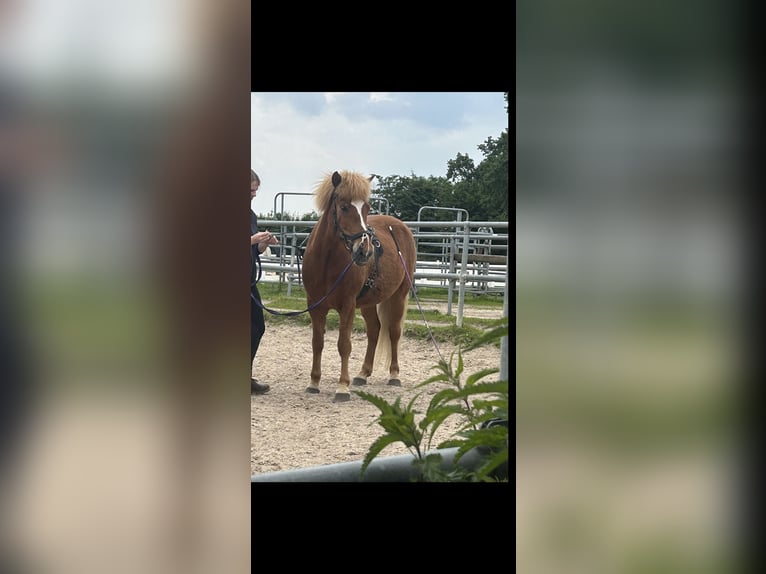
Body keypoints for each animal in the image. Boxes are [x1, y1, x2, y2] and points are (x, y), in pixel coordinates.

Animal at [301, 170, 417, 402]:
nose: (365, 250)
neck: (326, 261)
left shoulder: (347, 306)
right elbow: (317, 343)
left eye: (366, 208)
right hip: (368, 303)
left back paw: (394, 375)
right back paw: (363, 374)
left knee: (394, 332)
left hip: (399, 296)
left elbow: (344, 345)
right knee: (374, 330)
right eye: (344, 207)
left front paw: (342, 388)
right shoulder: (315, 306)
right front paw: (314, 382)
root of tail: (399, 226)